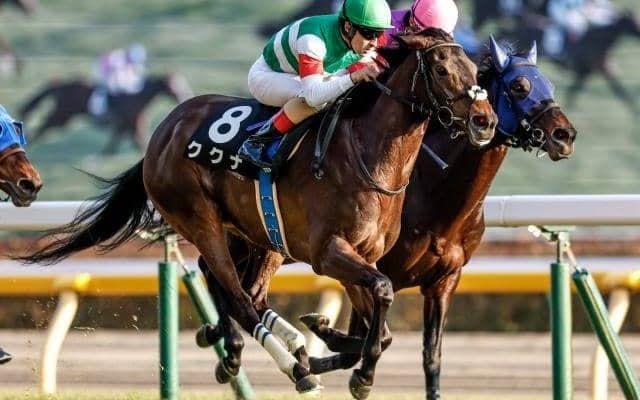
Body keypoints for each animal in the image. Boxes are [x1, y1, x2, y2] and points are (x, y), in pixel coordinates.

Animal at [20, 73, 193, 154]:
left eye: (181, 82)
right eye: (172, 84)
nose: (183, 95)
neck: (136, 97)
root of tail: (60, 85)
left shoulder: (126, 124)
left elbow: (121, 139)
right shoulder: (132, 123)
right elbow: (138, 140)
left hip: (63, 115)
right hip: (63, 114)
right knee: (44, 124)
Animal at [196, 37, 577, 400]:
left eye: (550, 86)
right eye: (519, 87)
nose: (565, 135)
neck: (435, 192)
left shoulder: (444, 279)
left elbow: (428, 353)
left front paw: (324, 346)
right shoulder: (366, 264)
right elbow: (367, 337)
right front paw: (325, 343)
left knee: (228, 280)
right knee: (221, 275)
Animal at [499, 11, 640, 114]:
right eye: (634, 22)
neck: (596, 40)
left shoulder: (596, 71)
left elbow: (620, 92)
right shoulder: (584, 71)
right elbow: (574, 91)